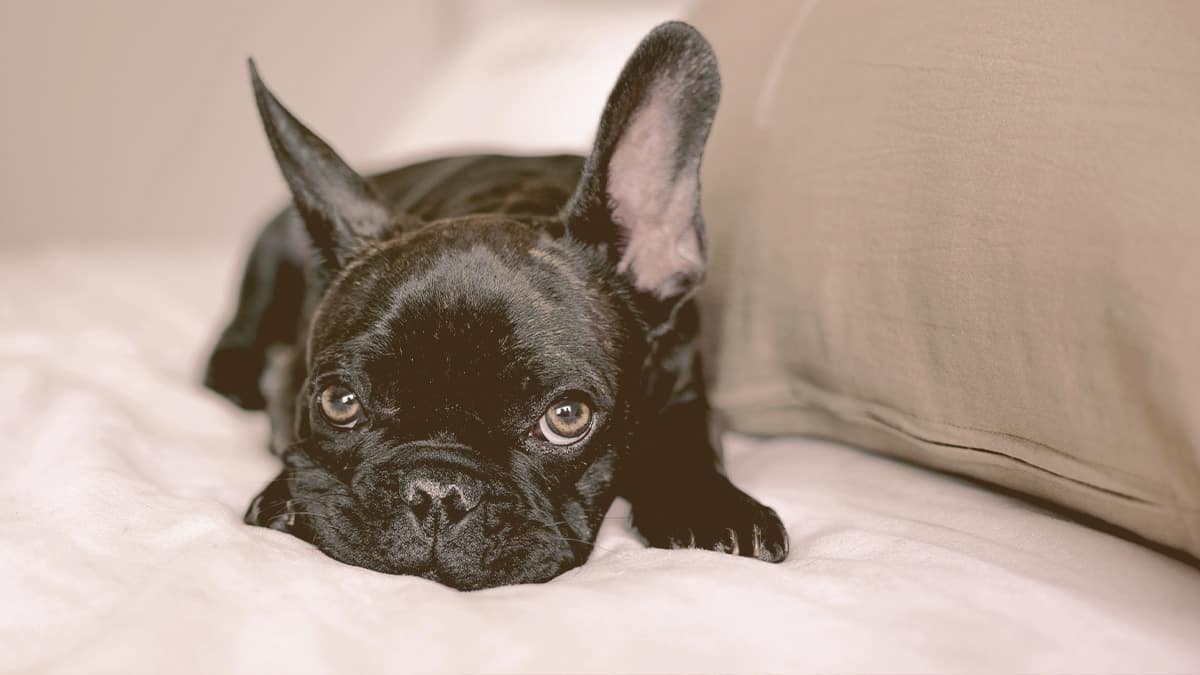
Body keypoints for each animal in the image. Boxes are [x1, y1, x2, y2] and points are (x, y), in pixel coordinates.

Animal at [206, 22, 787, 588]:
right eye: (339, 401)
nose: (437, 491)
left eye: (568, 417)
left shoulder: (684, 376)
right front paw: (286, 498)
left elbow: (684, 438)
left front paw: (710, 504)